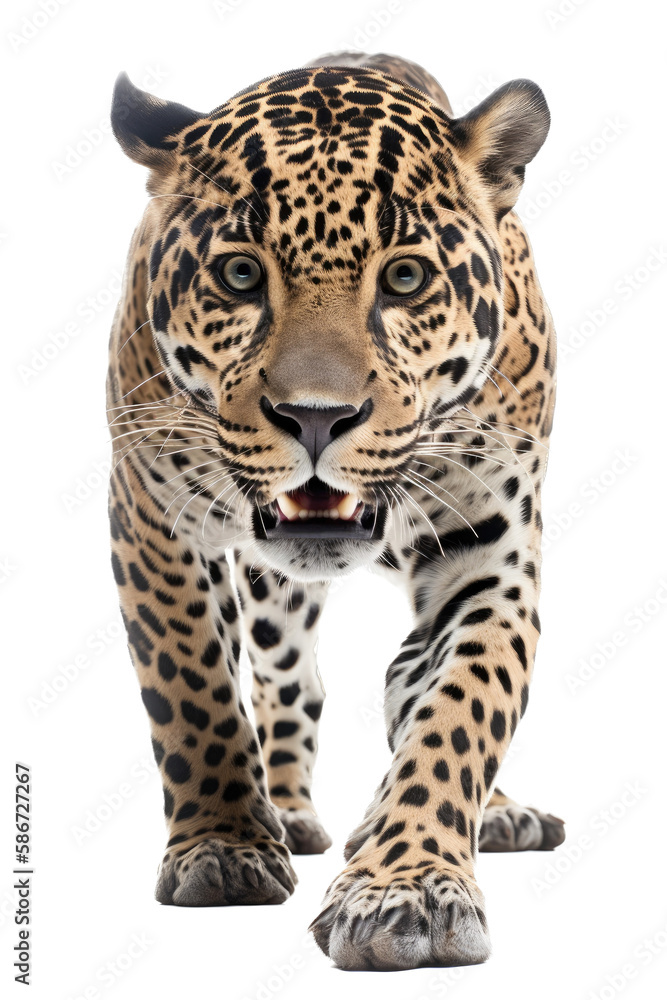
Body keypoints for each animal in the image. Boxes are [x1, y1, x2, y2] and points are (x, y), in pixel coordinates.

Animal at [106, 51, 564, 971]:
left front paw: (408, 885)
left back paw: (491, 813)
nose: (316, 417)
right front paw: (224, 845)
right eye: (240, 274)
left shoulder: (491, 554)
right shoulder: (149, 510)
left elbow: (460, 710)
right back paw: (287, 815)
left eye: (405, 278)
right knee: (290, 683)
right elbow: (192, 685)